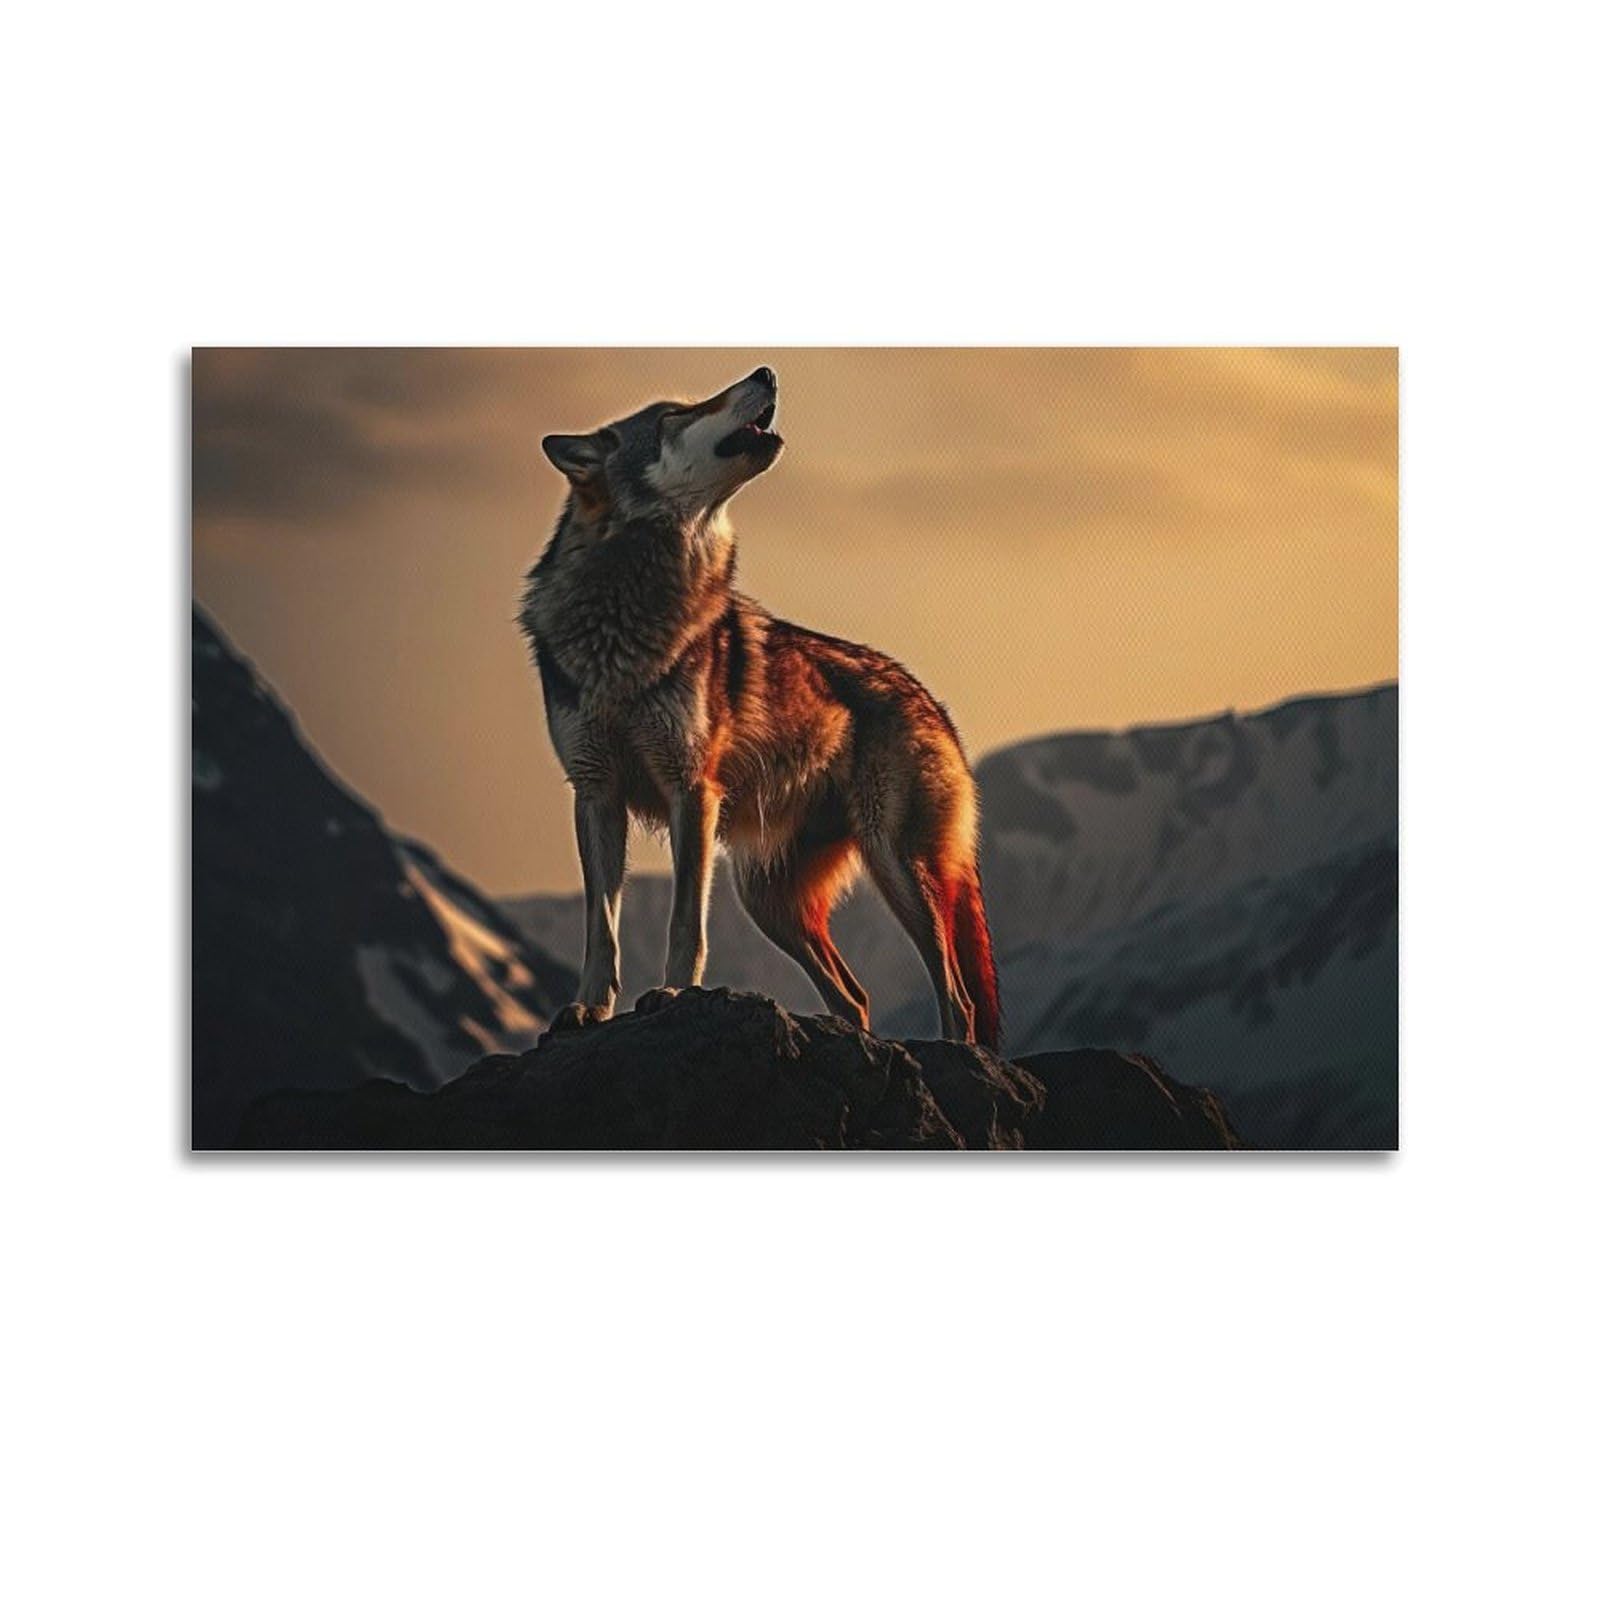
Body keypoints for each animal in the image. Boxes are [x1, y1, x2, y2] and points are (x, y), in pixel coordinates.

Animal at [519, 366, 1000, 1048]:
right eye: (676, 414)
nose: (767, 371)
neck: (625, 619)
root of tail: (930, 698)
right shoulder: (595, 793)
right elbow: (600, 928)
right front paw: (588, 1009)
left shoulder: (692, 790)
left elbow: (684, 923)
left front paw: (672, 995)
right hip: (770, 902)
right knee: (856, 997)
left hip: (896, 864)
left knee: (957, 995)